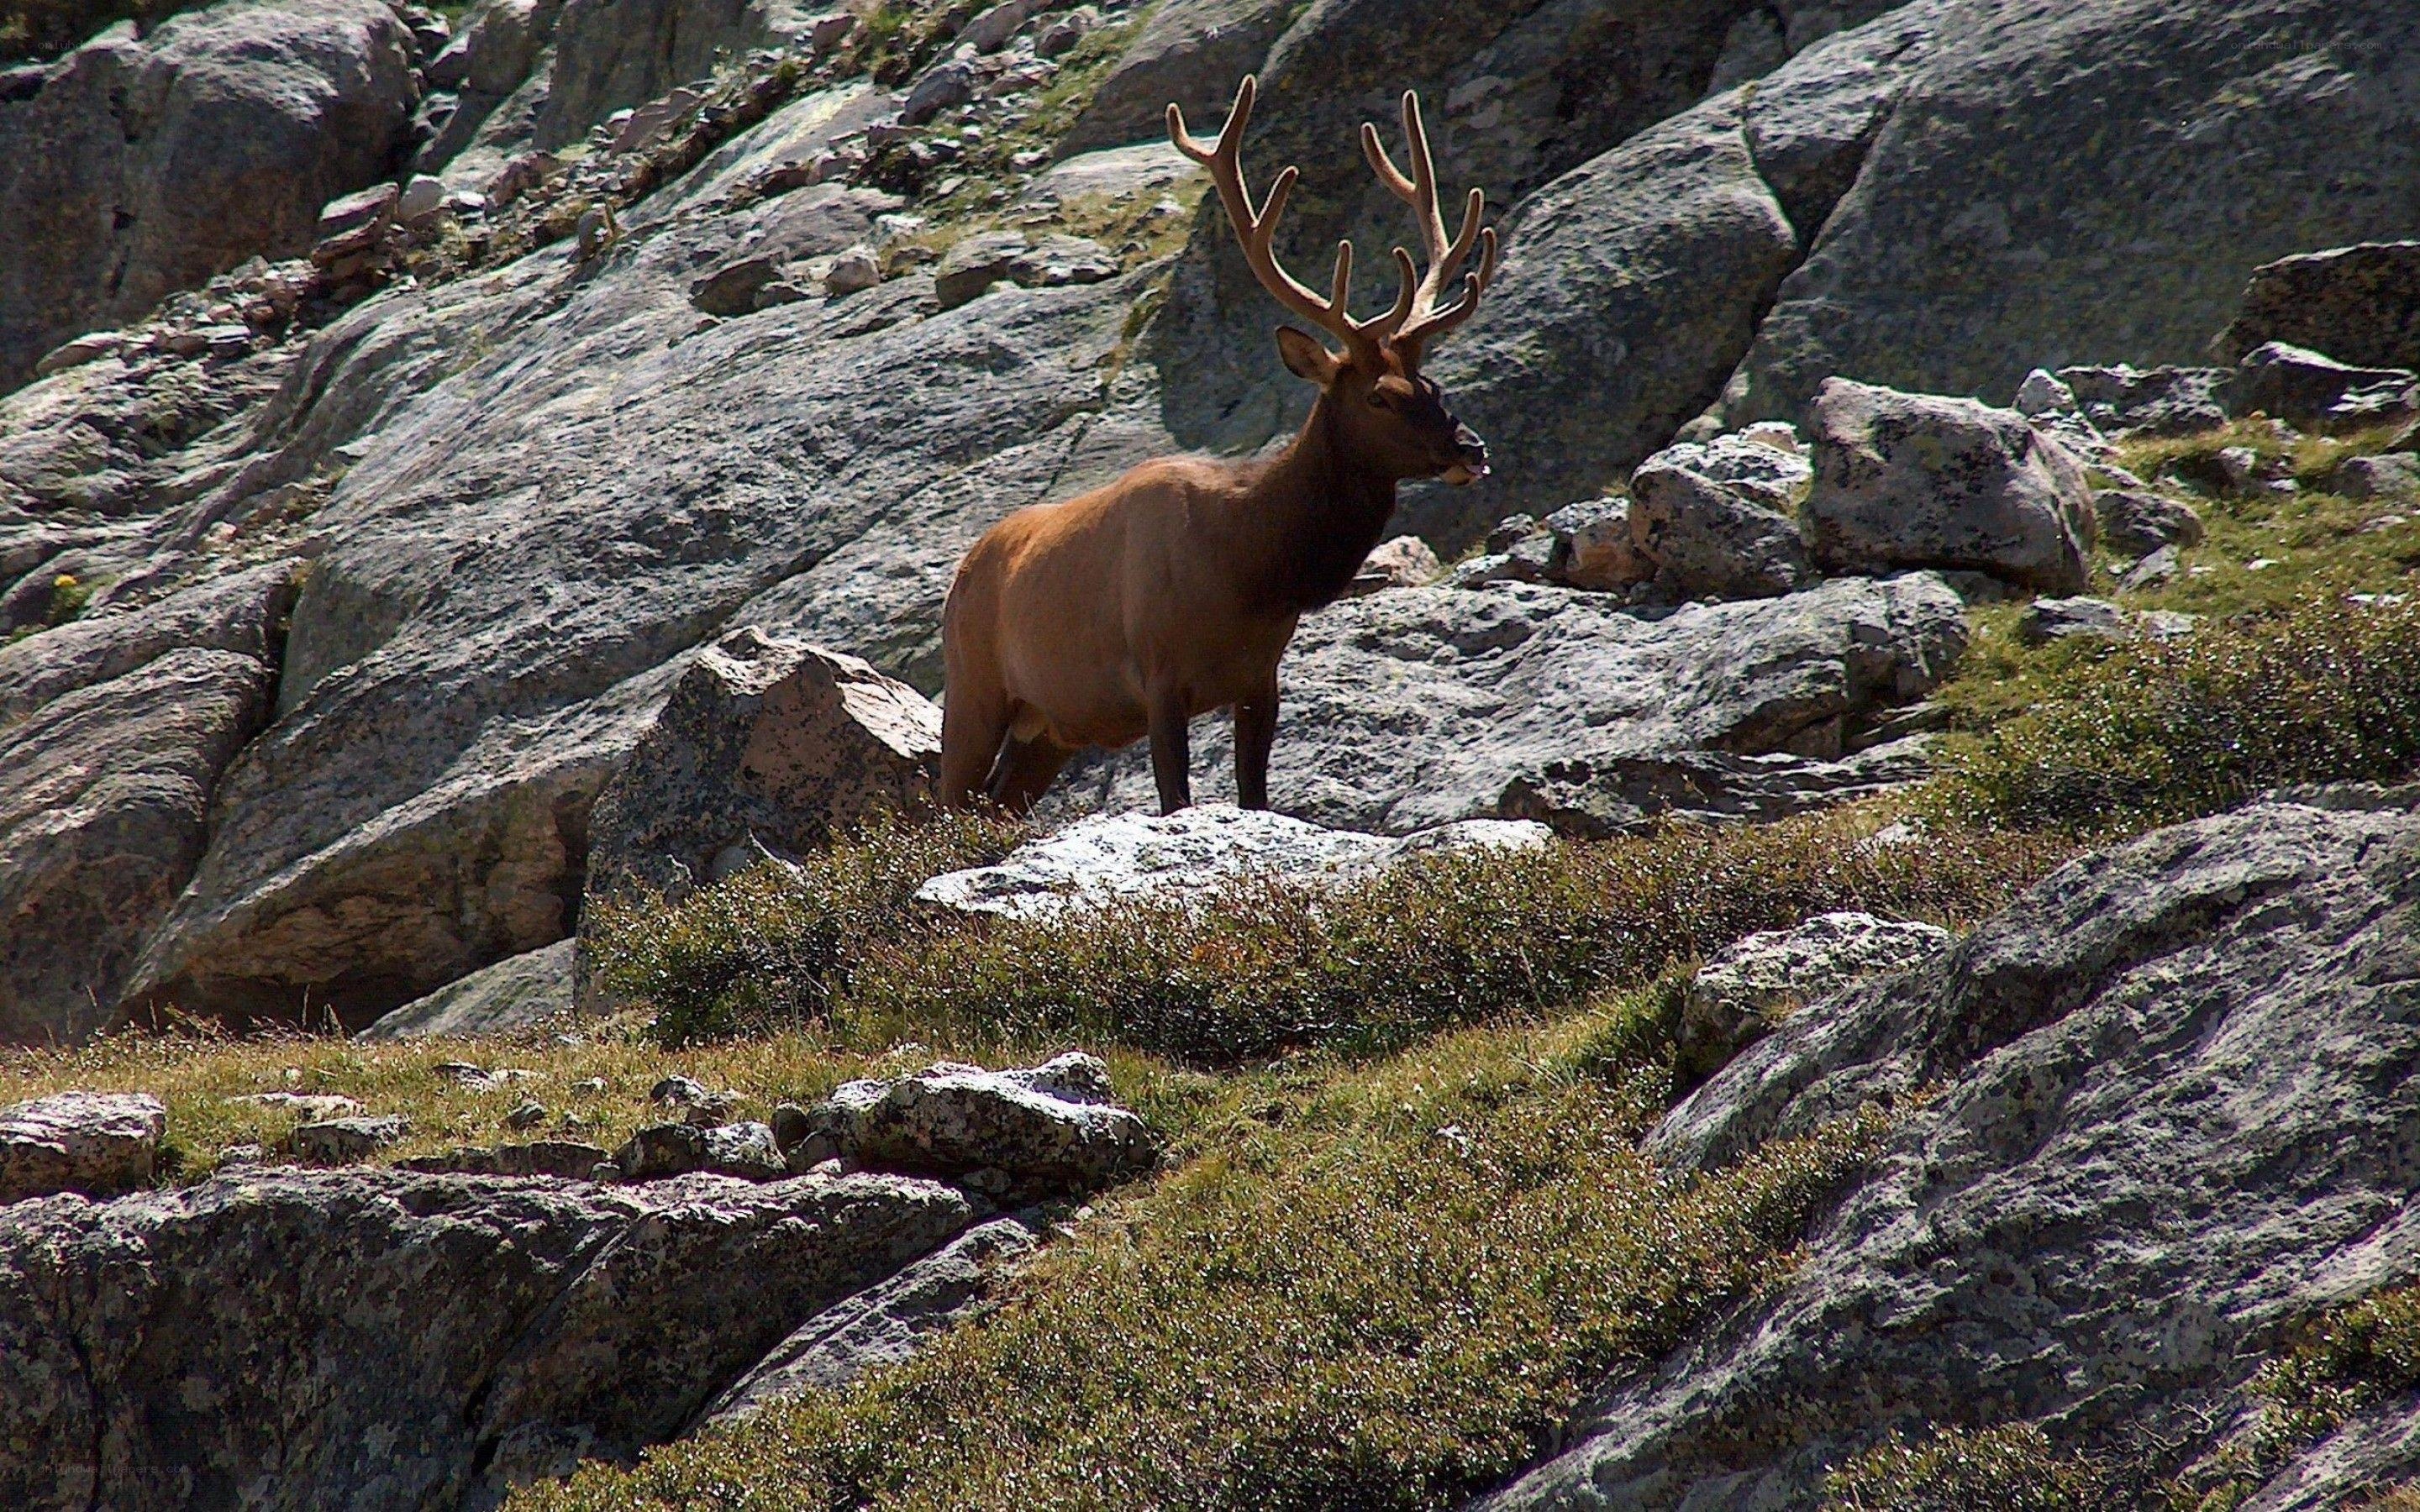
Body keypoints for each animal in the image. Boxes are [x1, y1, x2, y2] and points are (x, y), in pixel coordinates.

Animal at [937, 75, 1499, 817]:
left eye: (1431, 382)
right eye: (1379, 396)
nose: (1472, 448)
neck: (1252, 568)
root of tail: (961, 574)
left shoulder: (1261, 677)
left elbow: (1255, 797)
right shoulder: (1158, 671)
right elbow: (1176, 798)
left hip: (1049, 727)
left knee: (999, 799)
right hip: (972, 688)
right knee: (942, 801)